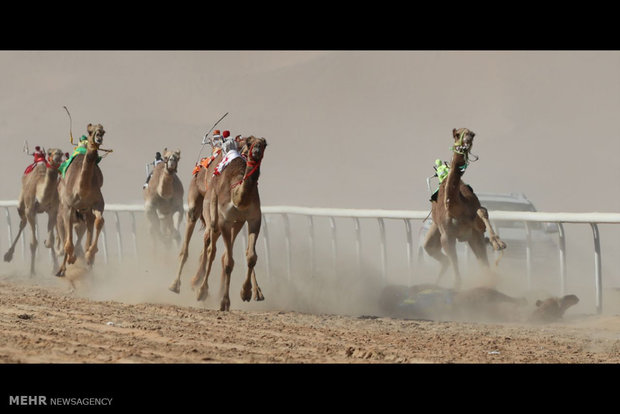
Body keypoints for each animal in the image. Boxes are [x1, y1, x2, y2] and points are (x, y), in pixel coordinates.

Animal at [3, 147, 65, 276]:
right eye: (49, 153)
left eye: (61, 153)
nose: (57, 155)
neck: (41, 195)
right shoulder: (30, 210)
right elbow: (33, 243)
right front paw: (32, 272)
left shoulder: (53, 210)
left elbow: (50, 241)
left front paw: (55, 266)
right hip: (21, 205)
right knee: (22, 224)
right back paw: (8, 255)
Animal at [55, 124, 106, 276]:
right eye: (90, 131)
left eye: (103, 131)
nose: (98, 136)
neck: (82, 190)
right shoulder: (68, 206)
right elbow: (68, 243)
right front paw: (71, 259)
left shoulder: (97, 203)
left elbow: (100, 221)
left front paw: (90, 254)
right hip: (64, 213)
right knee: (66, 239)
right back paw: (62, 269)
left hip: (85, 214)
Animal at [193, 136, 268, 310]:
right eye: (249, 143)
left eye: (264, 144)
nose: (256, 150)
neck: (239, 199)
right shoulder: (225, 221)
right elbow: (228, 262)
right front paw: (224, 302)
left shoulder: (254, 219)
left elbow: (251, 257)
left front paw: (246, 293)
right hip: (212, 217)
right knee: (211, 249)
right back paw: (201, 290)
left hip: (236, 224)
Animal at [424, 128, 506, 290]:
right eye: (457, 134)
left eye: (472, 134)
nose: (466, 141)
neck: (456, 208)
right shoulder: (446, 235)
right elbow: (457, 278)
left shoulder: (476, 229)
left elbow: (482, 211)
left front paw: (498, 243)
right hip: (438, 229)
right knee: (430, 249)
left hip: (472, 238)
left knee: (484, 266)